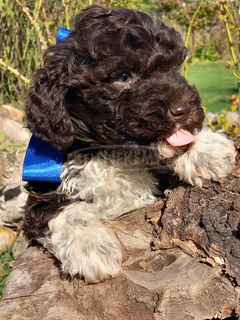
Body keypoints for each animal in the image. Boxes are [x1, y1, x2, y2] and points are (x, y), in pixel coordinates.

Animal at [23, 5, 236, 282]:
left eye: (172, 68)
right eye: (123, 77)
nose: (185, 108)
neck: (110, 153)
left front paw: (204, 148)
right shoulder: (40, 197)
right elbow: (64, 211)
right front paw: (91, 247)